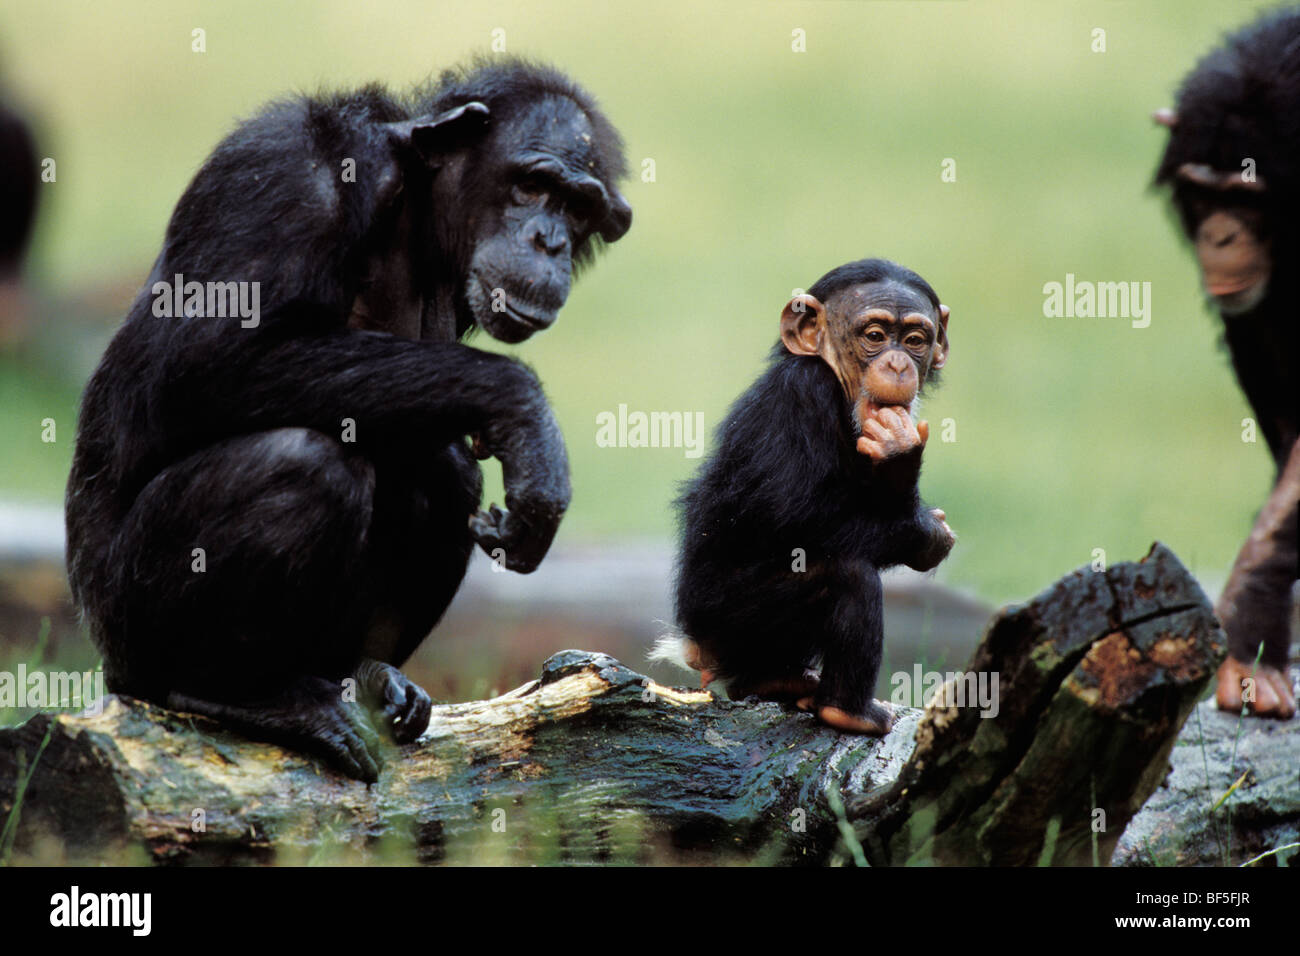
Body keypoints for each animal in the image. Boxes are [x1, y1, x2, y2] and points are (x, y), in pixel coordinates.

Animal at [67, 57, 634, 780]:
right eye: (533, 184)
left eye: (578, 207)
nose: (550, 239)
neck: (415, 210)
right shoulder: (288, 174)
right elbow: (204, 361)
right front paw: (524, 413)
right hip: (123, 625)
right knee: (301, 464)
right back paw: (232, 692)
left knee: (441, 470)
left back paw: (366, 678)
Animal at [660, 257, 956, 738]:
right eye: (875, 336)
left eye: (915, 340)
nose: (897, 364)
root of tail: (693, 645)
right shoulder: (804, 390)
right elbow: (792, 516)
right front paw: (925, 525)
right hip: (730, 619)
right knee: (847, 575)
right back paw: (849, 711)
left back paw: (781, 681)